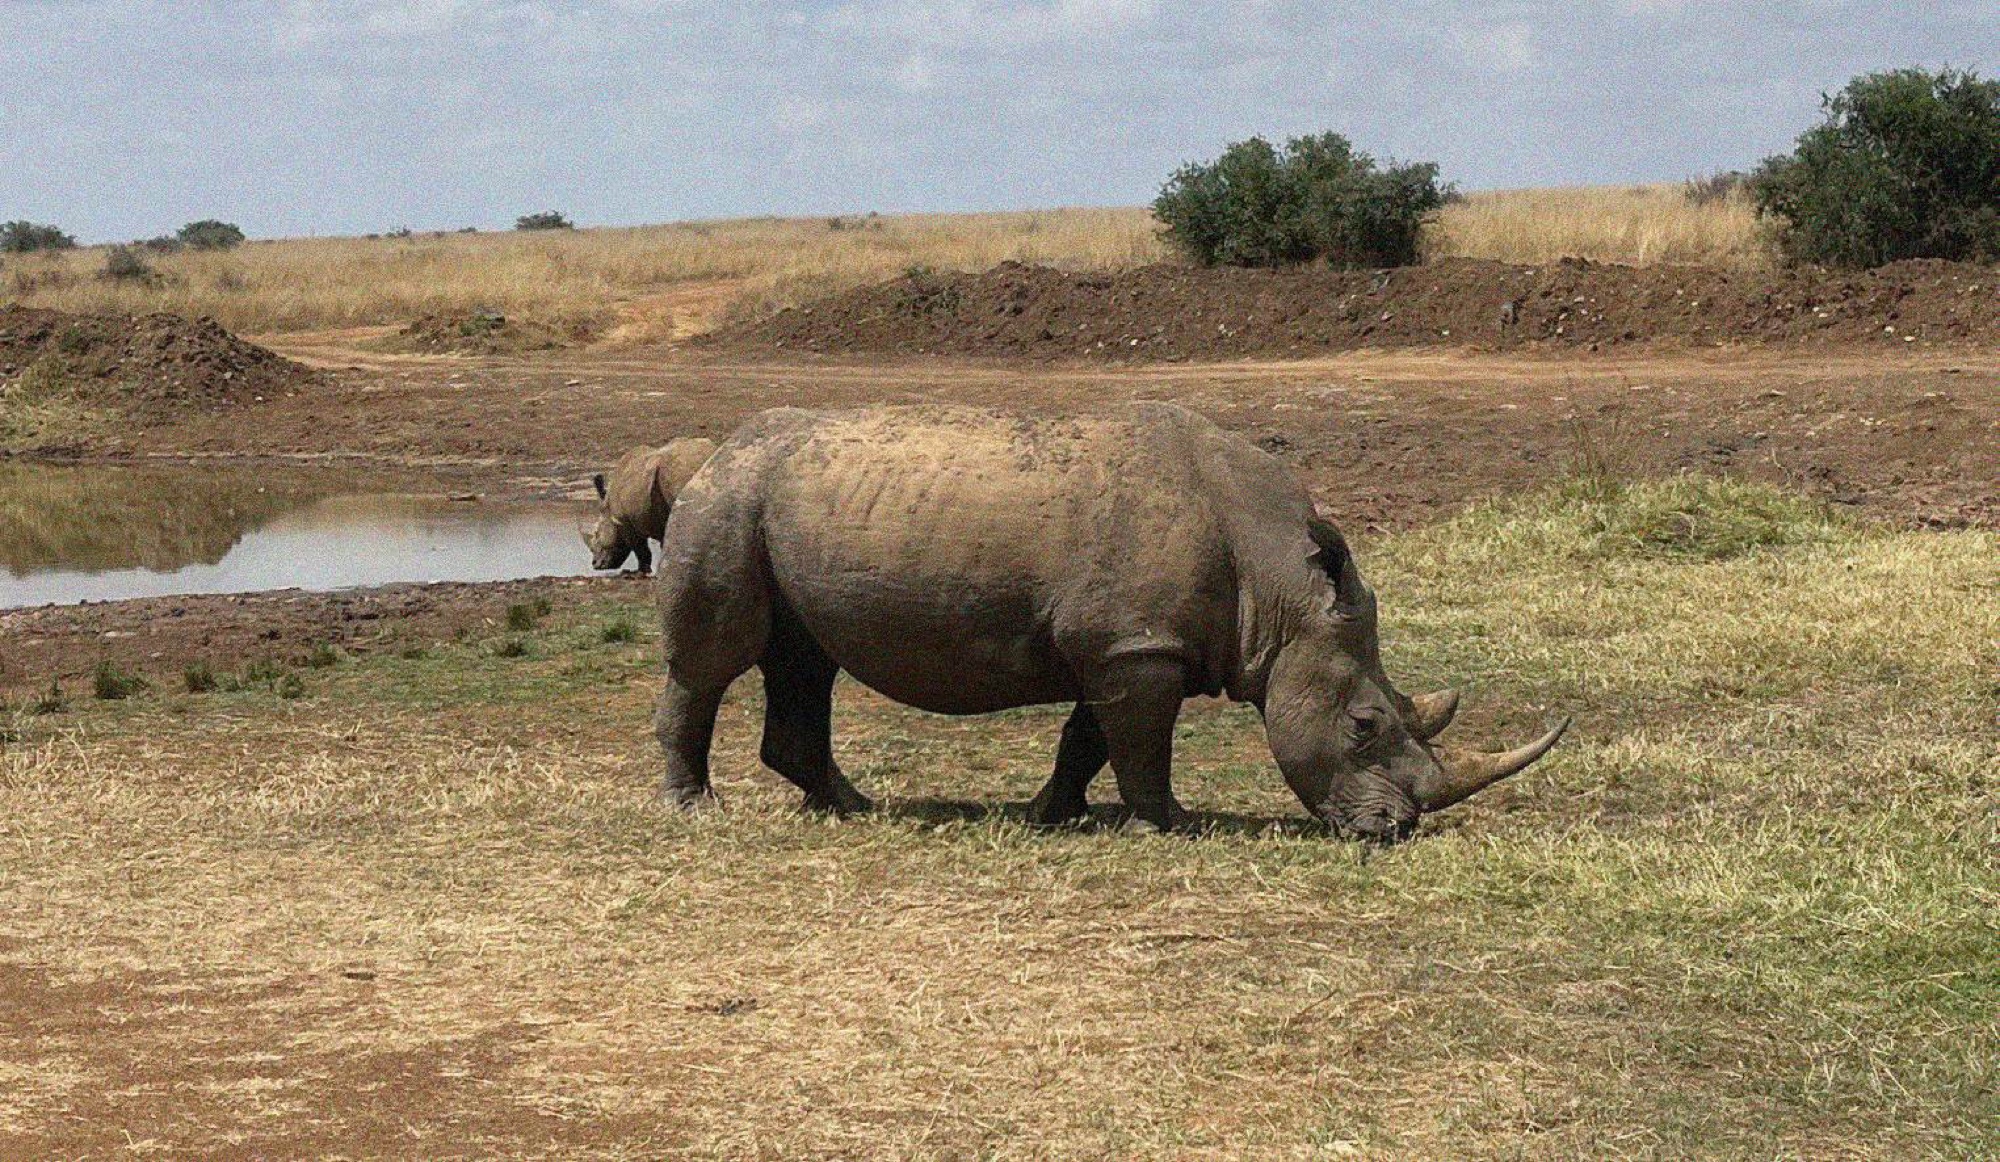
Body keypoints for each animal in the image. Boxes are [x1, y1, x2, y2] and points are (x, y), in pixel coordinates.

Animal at [586, 438, 717, 573]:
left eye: (596, 534)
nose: (595, 564)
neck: (608, 506)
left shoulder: (624, 522)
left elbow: (641, 549)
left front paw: (643, 571)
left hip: (681, 470)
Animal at [653, 404, 1567, 841]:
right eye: (1366, 724)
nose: (1396, 830)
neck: (1280, 586)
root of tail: (715, 449)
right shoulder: (1137, 647)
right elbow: (1138, 746)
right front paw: (1172, 824)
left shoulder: (1125, 646)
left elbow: (1087, 739)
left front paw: (1048, 815)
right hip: (727, 502)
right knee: (716, 662)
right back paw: (698, 811)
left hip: (774, 503)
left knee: (805, 659)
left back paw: (851, 807)